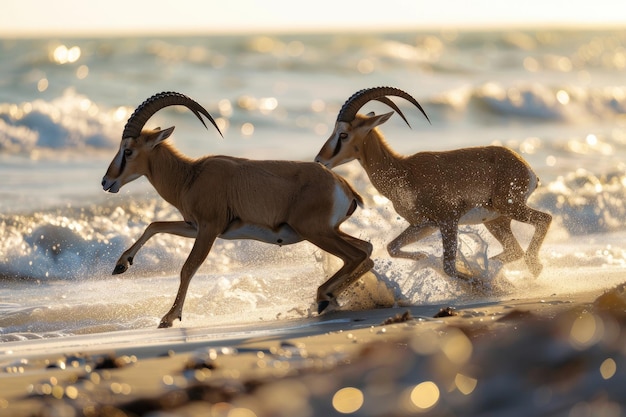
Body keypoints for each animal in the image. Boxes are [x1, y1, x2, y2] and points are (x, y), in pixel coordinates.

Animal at [101, 92, 370, 324]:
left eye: (128, 151)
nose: (106, 181)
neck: (190, 176)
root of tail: (342, 185)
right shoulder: (193, 226)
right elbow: (154, 224)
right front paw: (121, 265)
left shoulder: (209, 229)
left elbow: (187, 268)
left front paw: (169, 318)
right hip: (327, 232)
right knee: (366, 251)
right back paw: (329, 298)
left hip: (316, 233)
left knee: (357, 255)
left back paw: (323, 298)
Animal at [314, 87, 548, 282]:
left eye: (343, 134)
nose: (319, 160)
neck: (404, 171)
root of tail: (526, 167)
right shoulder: (424, 225)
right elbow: (392, 247)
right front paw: (422, 256)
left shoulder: (448, 220)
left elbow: (449, 267)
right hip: (497, 220)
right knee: (514, 249)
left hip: (510, 208)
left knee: (544, 219)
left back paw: (531, 268)